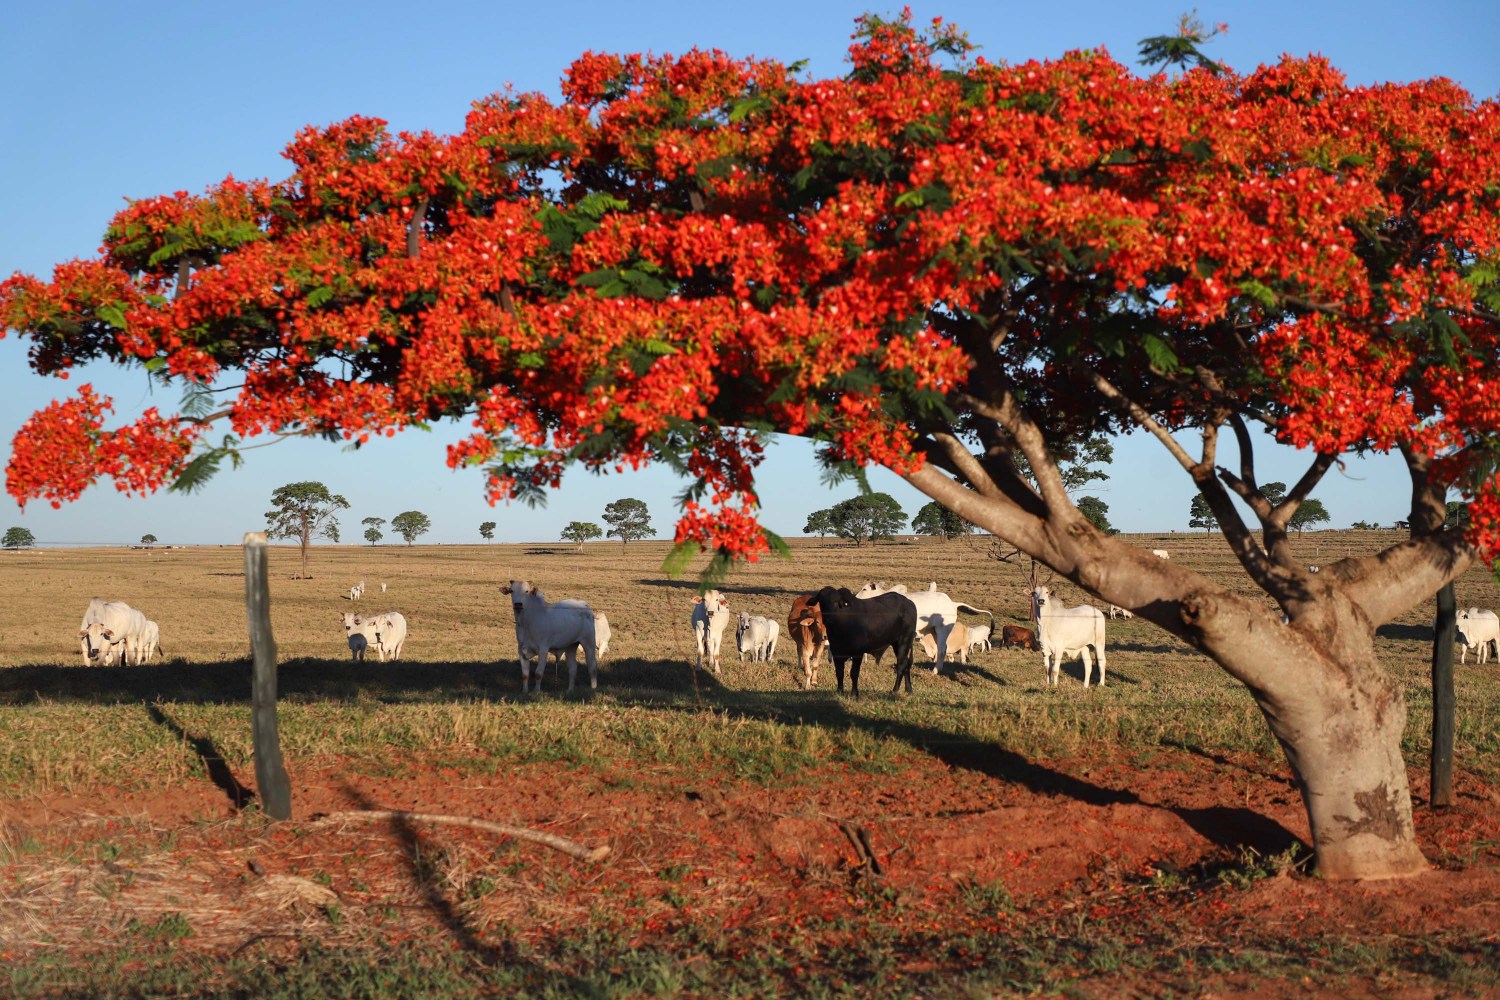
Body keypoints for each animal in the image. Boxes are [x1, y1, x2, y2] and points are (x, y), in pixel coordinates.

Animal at [858, 581, 996, 677]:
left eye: (864, 589)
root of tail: (952, 603)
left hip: (942, 629)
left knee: (942, 649)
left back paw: (935, 671)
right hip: (934, 631)